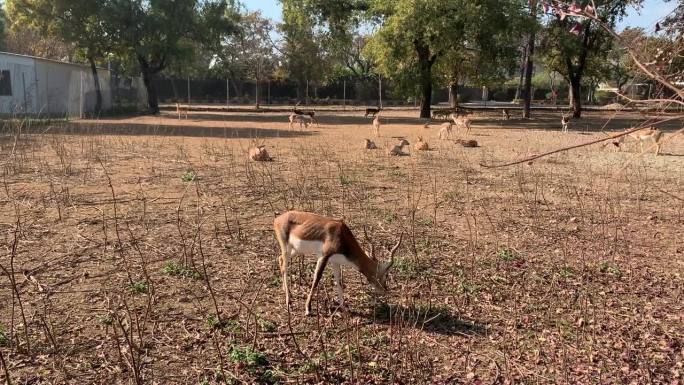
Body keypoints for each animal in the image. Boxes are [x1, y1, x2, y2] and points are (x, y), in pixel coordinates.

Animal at [272, 210, 400, 316]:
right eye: (385, 275)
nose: (384, 290)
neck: (341, 234)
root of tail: (277, 219)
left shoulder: (335, 262)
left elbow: (339, 282)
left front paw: (344, 308)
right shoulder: (323, 256)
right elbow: (316, 279)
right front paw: (308, 309)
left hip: (295, 250)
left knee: (280, 259)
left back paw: (286, 291)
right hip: (286, 248)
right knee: (284, 266)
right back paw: (289, 302)